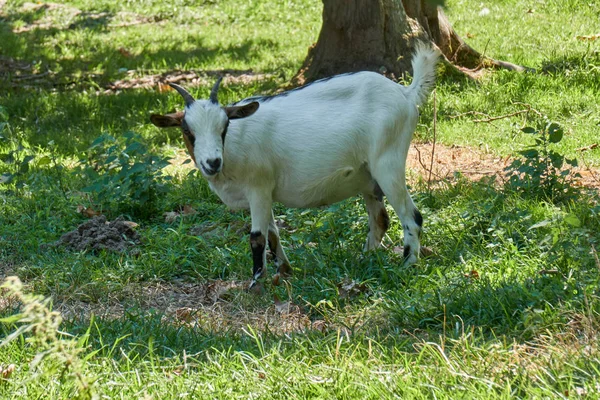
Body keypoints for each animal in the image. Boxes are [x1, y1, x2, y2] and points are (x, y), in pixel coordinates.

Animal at [150, 44, 440, 288]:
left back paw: (408, 264)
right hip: (369, 177)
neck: (232, 148)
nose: (212, 162)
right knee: (380, 220)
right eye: (187, 130)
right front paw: (284, 271)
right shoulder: (264, 194)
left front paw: (256, 283)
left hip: (388, 162)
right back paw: (365, 259)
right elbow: (273, 233)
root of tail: (405, 93)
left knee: (412, 217)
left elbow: (257, 237)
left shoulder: (258, 187)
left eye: (225, 126)